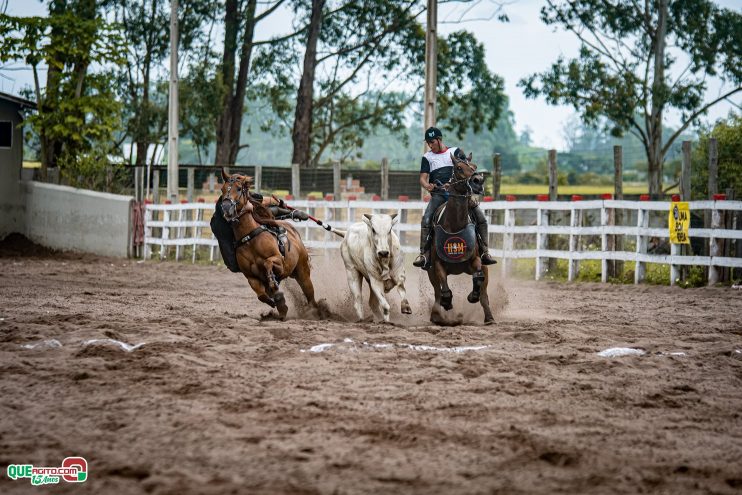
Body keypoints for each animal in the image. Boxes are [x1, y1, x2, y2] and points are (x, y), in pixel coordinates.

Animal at [218, 169, 316, 320]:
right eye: (222, 189)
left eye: (239, 188)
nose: (227, 207)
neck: (250, 238)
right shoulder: (251, 277)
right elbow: (262, 296)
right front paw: (279, 303)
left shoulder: (280, 263)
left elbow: (268, 263)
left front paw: (274, 285)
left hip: (303, 273)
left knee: (310, 295)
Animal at [430, 153, 494, 328]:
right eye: (459, 167)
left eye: (474, 166)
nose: (478, 181)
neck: (455, 224)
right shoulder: (437, 264)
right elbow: (444, 290)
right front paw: (447, 303)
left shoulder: (476, 260)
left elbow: (478, 277)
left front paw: (472, 296)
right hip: (430, 272)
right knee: (437, 292)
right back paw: (436, 315)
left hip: (485, 268)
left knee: (484, 294)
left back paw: (489, 317)